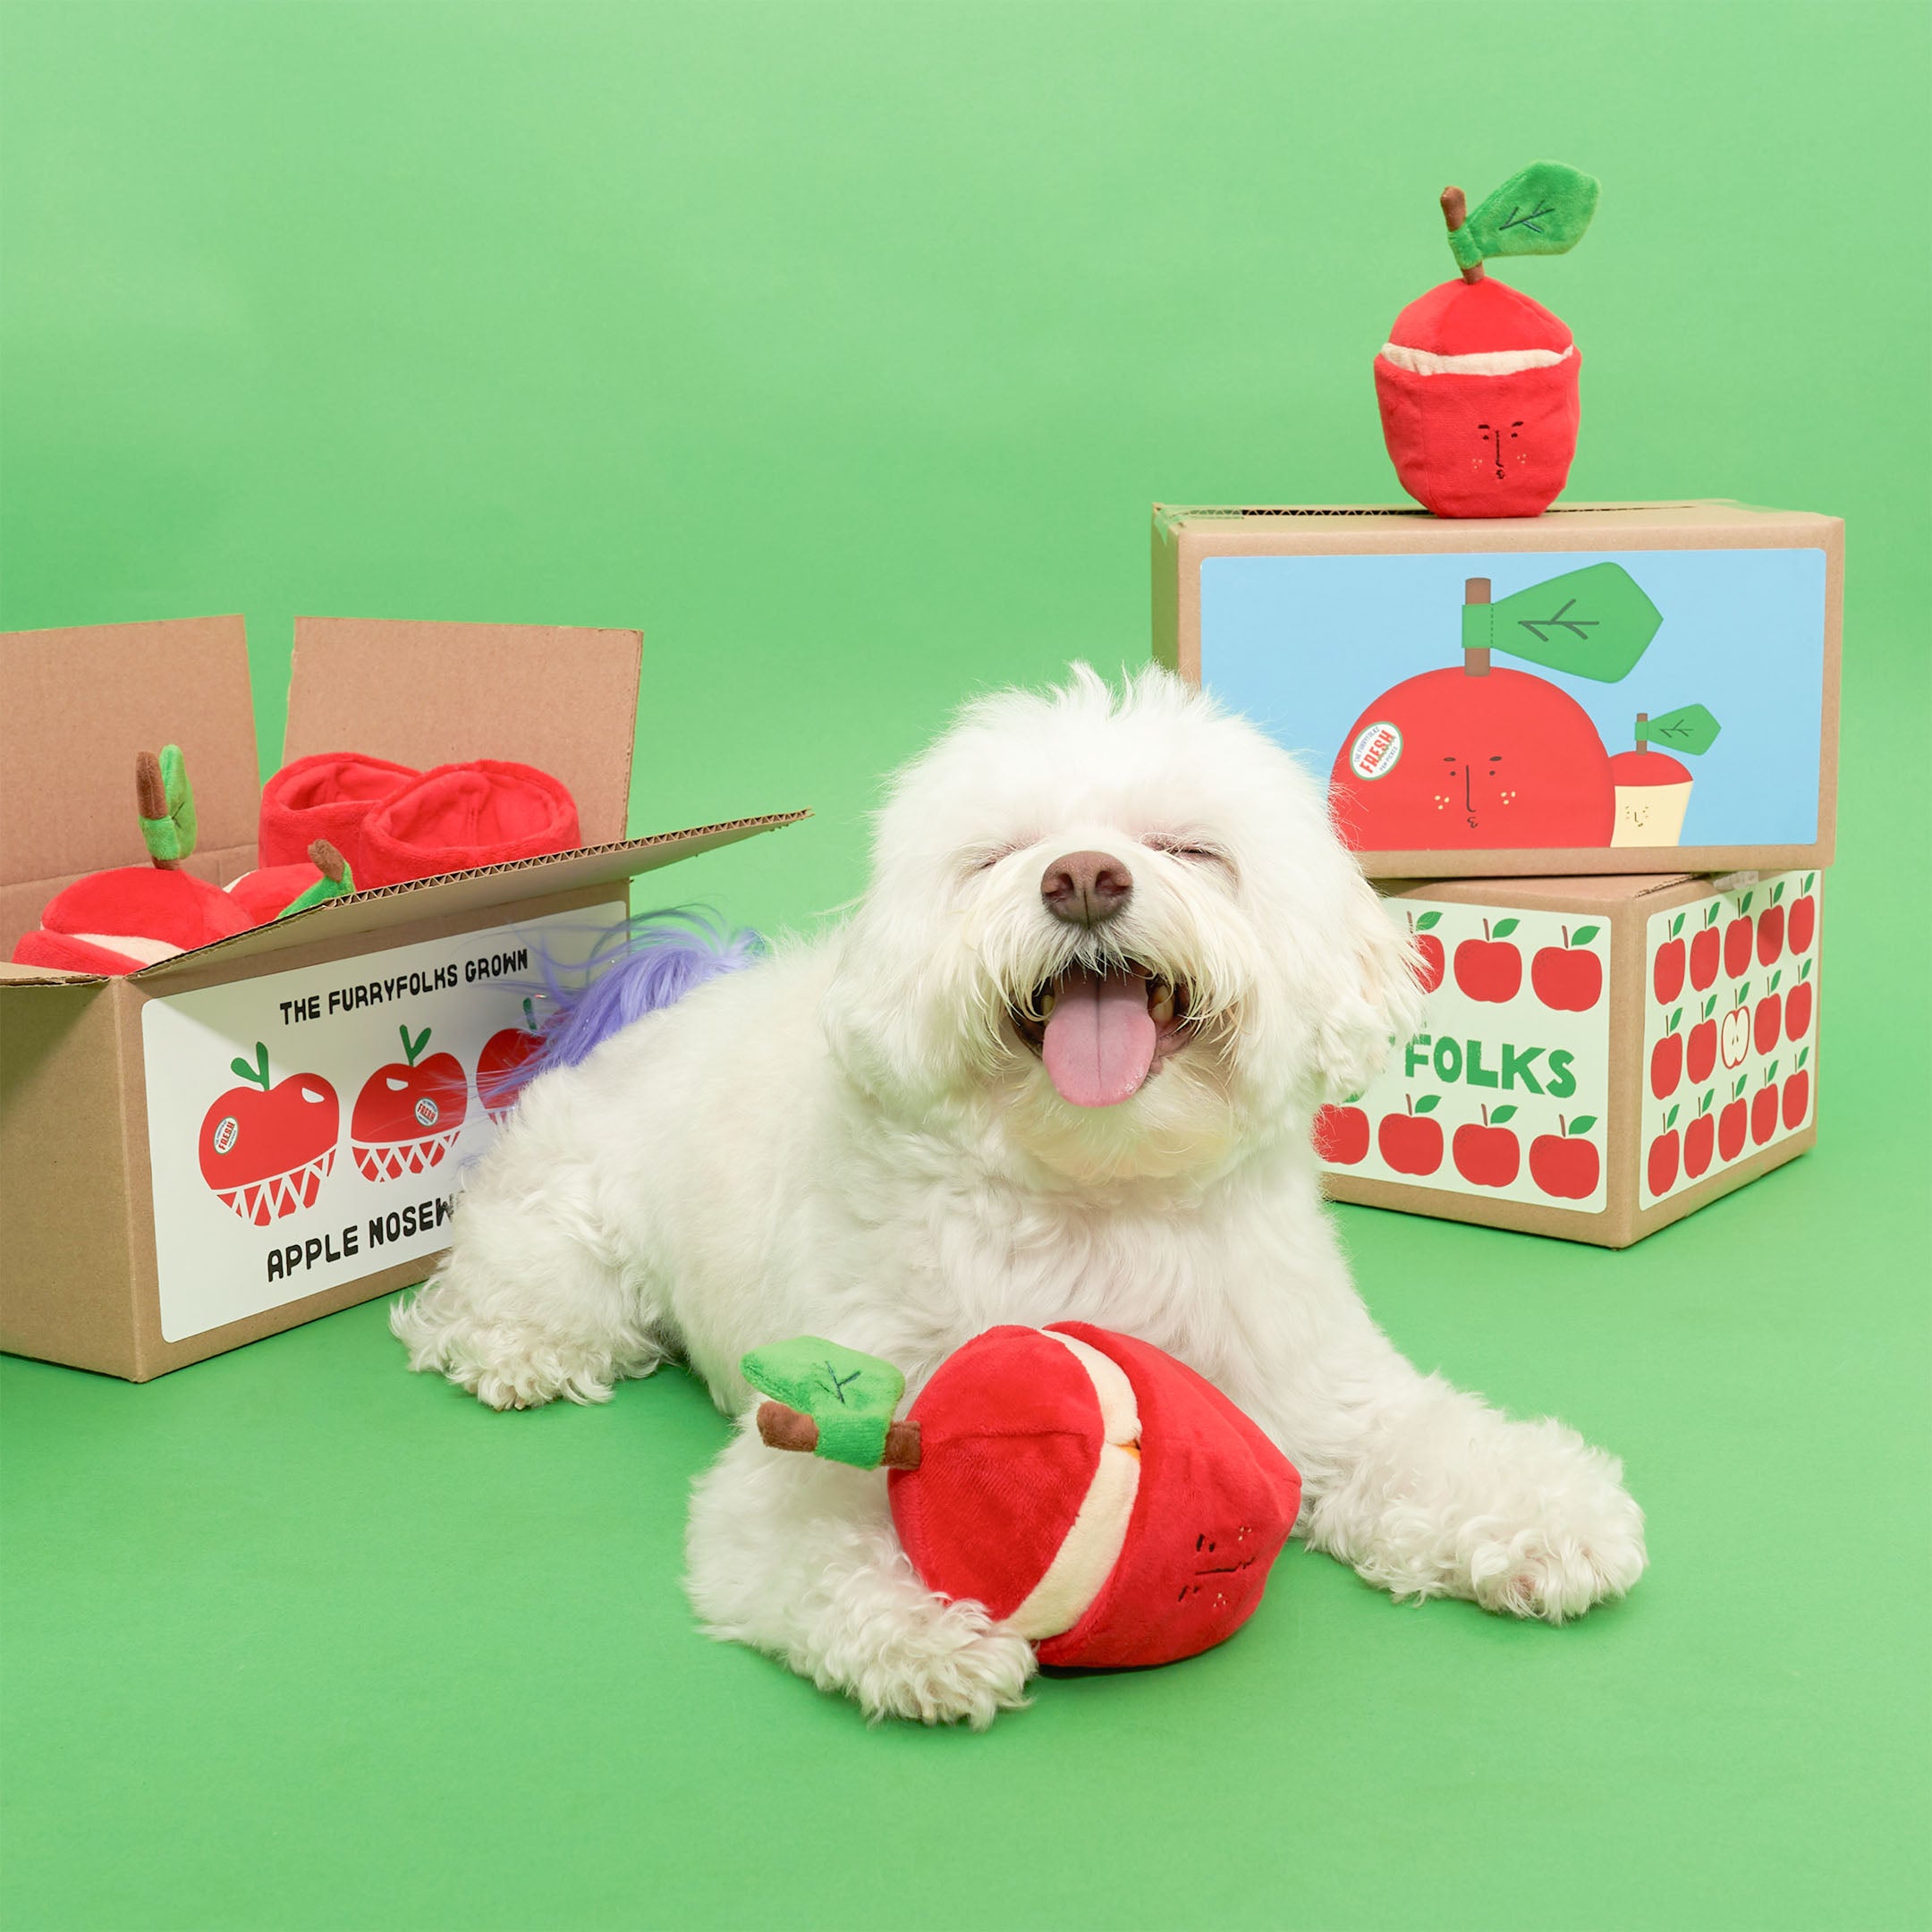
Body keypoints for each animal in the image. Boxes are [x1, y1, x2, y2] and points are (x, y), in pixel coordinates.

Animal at [395, 665, 1646, 1723]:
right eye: (999, 855)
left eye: (1188, 849)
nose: (1084, 877)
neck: (1100, 1198)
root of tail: (668, 997)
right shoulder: (829, 1430)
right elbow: (810, 1537)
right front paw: (919, 1632)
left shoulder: (1308, 1382)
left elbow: (1424, 1441)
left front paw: (1546, 1512)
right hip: (560, 1216)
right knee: (515, 1292)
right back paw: (518, 1345)